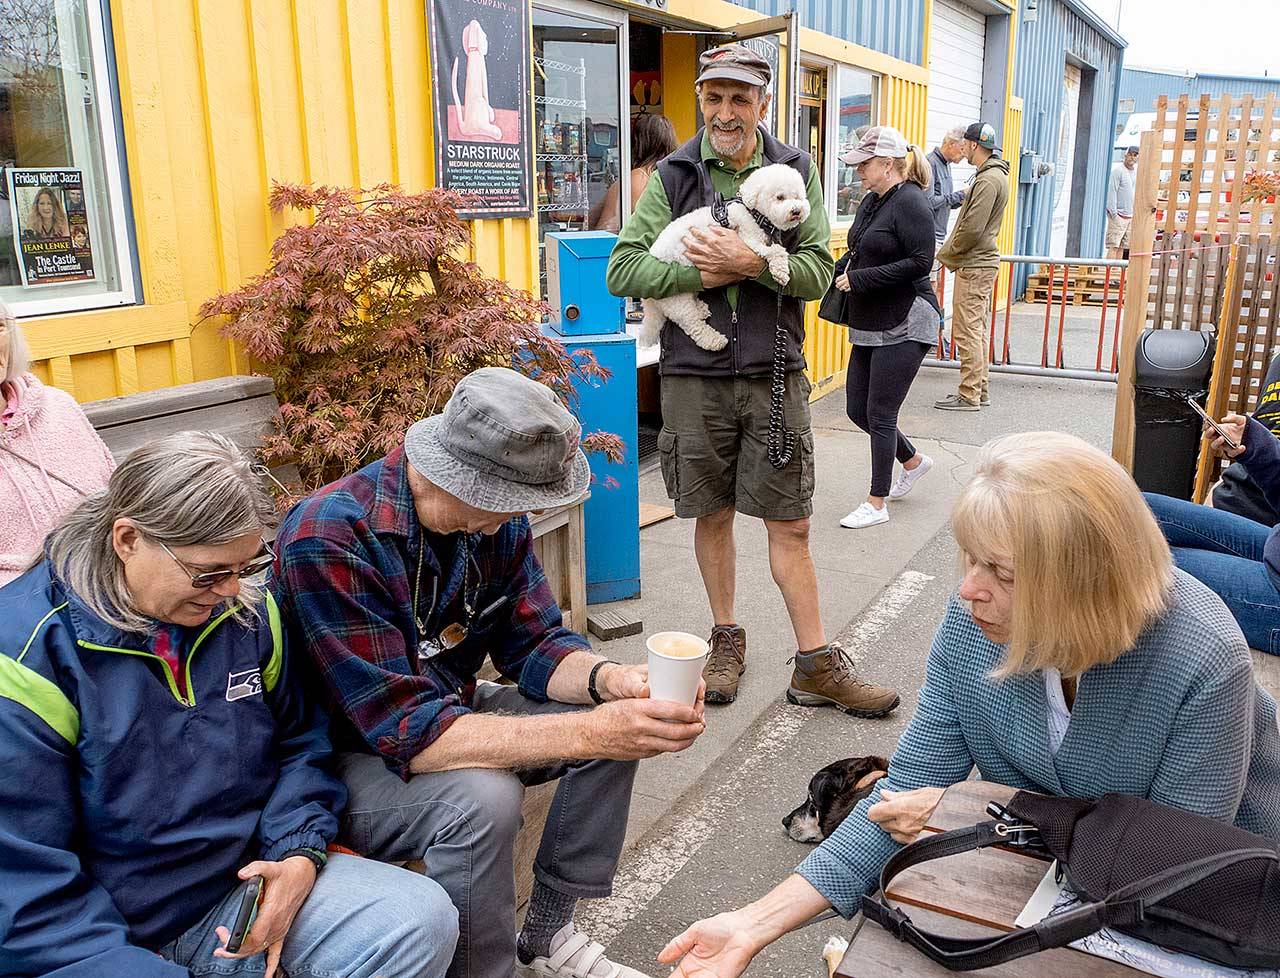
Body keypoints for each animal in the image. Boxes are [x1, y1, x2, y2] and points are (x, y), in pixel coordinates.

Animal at [640, 163, 808, 350]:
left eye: (797, 196)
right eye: (780, 197)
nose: (796, 211)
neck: (753, 213)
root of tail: (648, 300)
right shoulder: (748, 240)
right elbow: (776, 251)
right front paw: (781, 272)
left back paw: (701, 309)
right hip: (675, 299)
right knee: (691, 324)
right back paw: (714, 340)